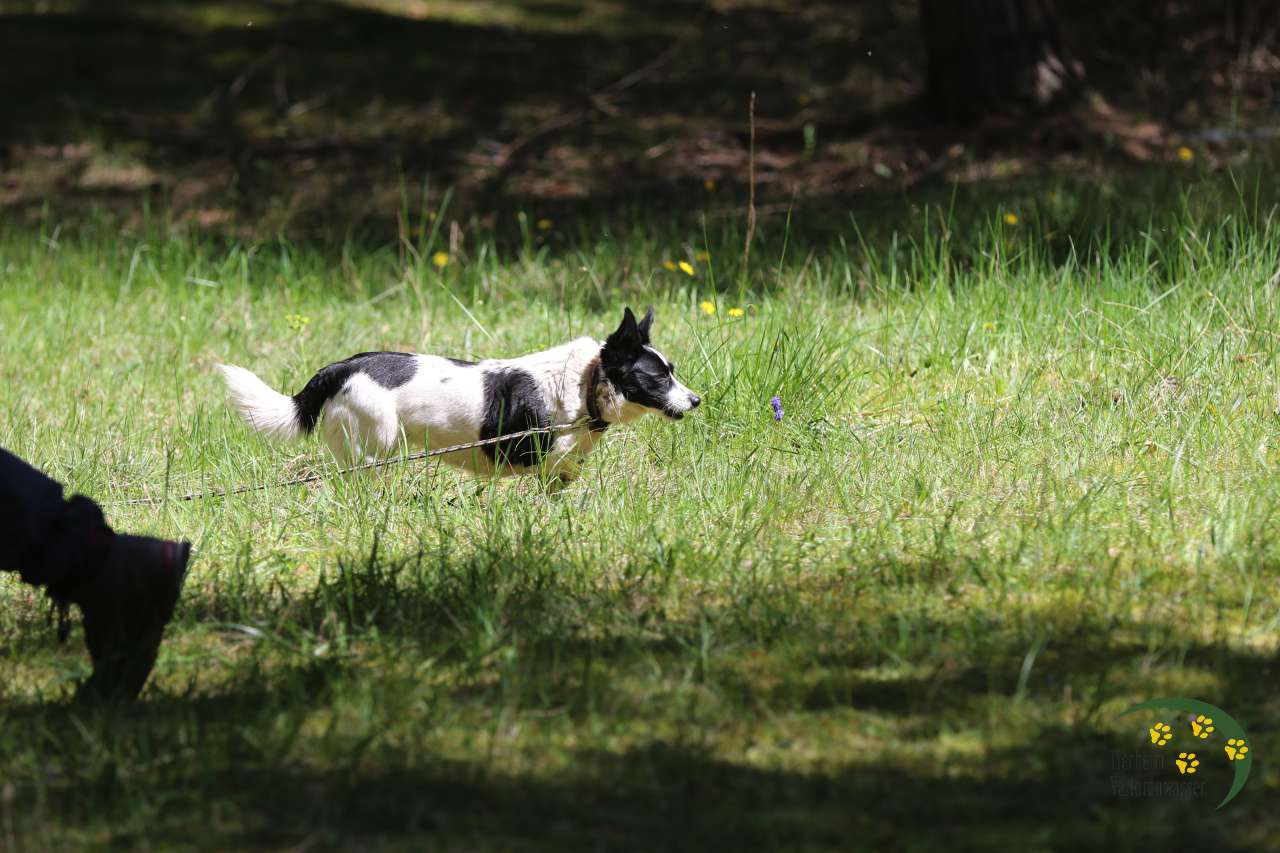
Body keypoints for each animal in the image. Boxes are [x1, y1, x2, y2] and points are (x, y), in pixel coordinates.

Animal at [217, 307, 700, 481]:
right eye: (659, 378)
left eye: (672, 372)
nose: (697, 401)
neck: (586, 382)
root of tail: (340, 368)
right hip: (371, 450)